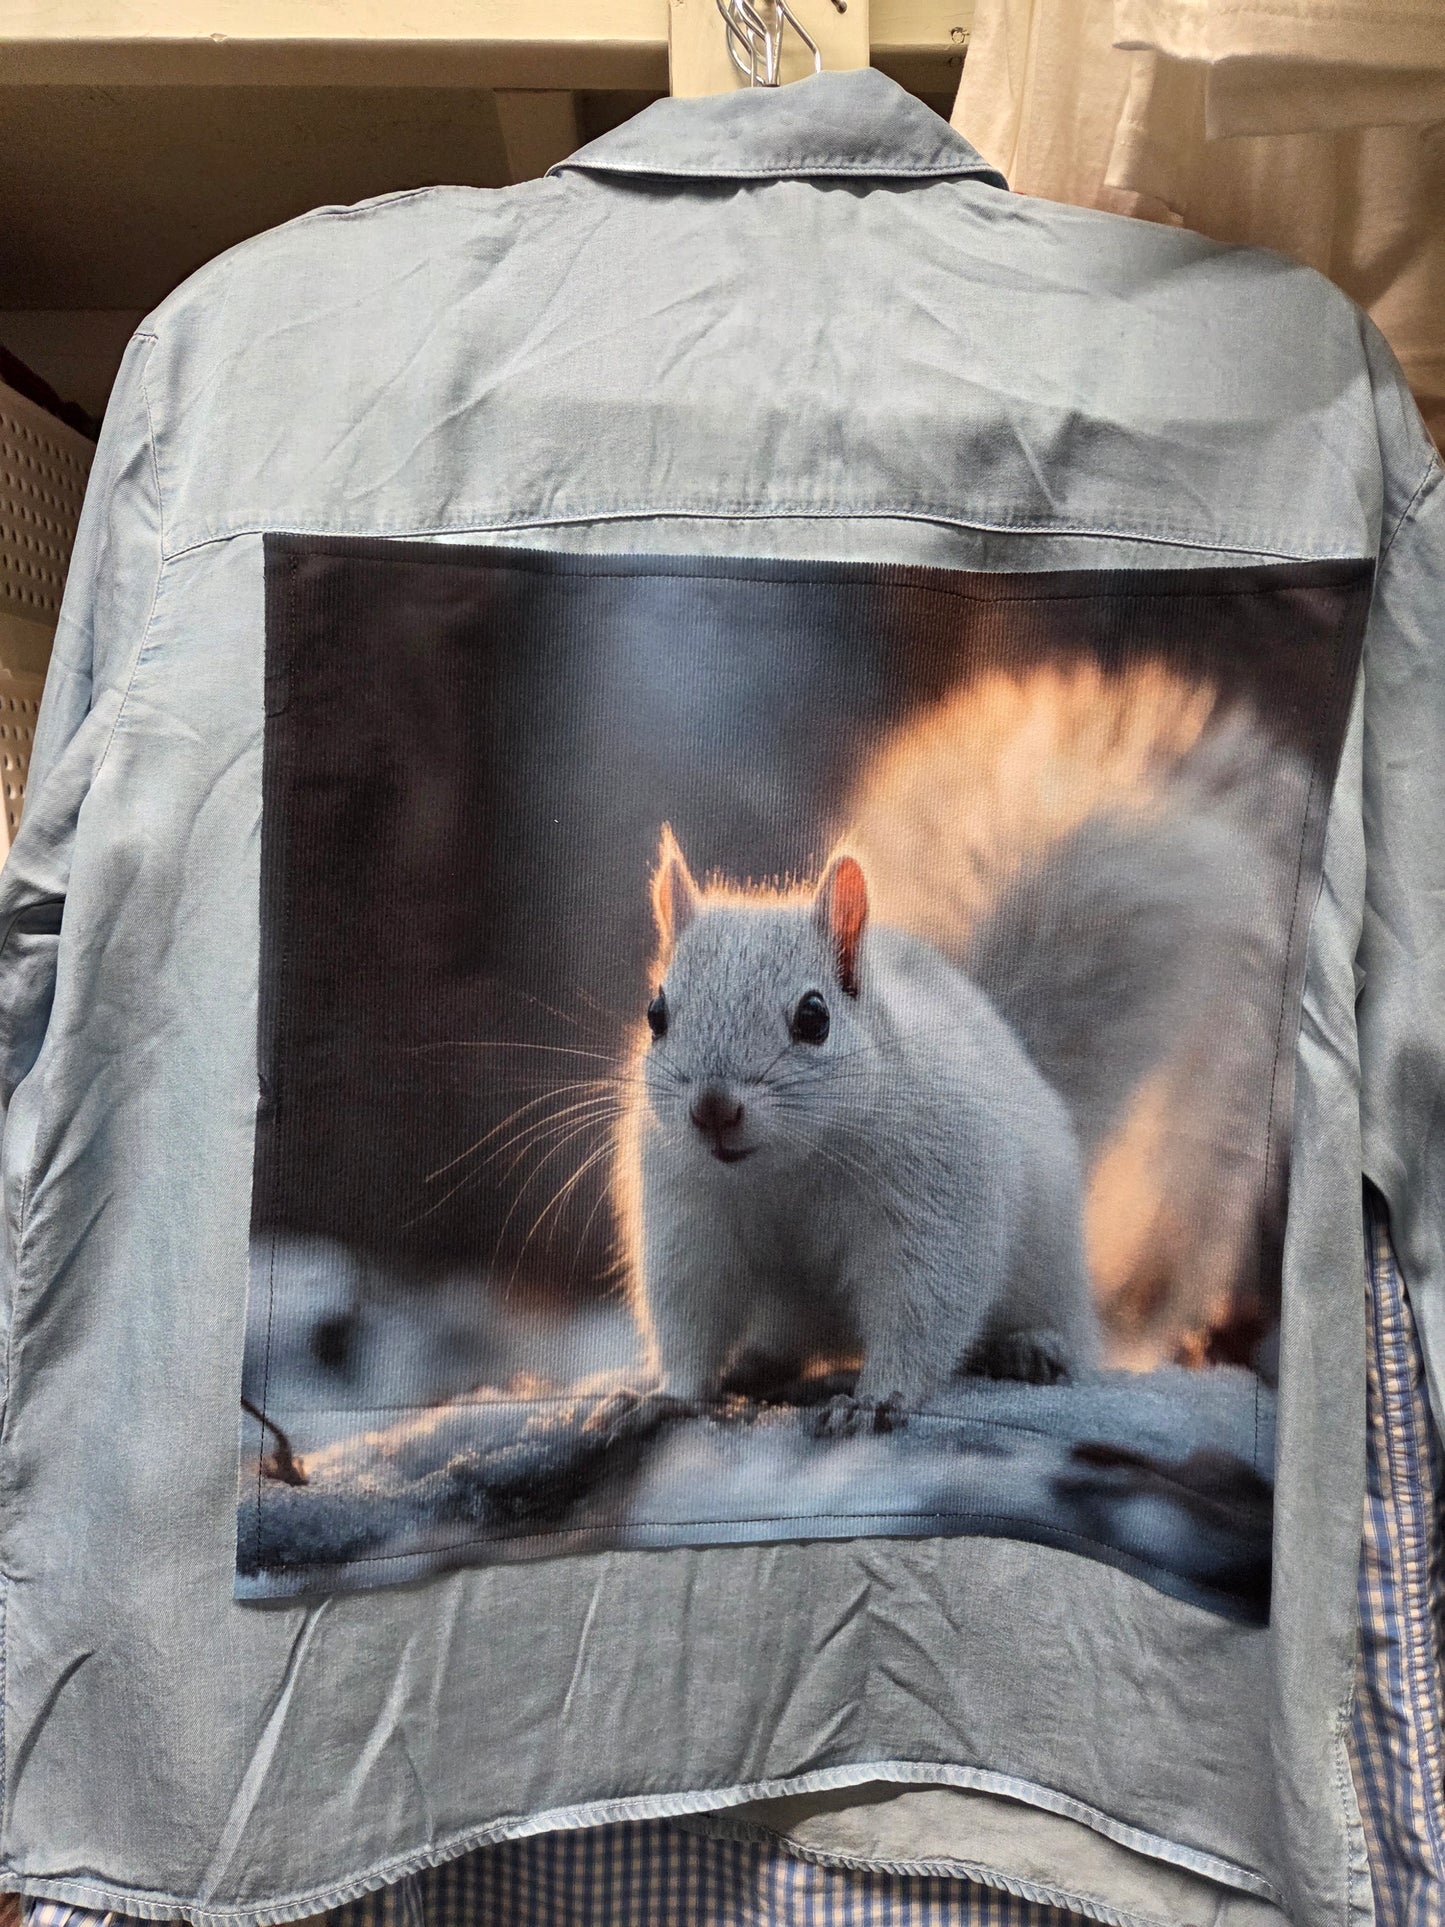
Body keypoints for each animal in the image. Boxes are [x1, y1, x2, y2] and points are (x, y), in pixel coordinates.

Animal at [613, 658, 1305, 1413]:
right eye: (656, 1014)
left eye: (814, 1017)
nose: (713, 1108)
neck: (787, 1165)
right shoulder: (685, 1211)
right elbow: (689, 1312)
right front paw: (668, 1395)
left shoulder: (938, 1200)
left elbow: (924, 1305)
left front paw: (876, 1400)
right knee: (791, 1341)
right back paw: (757, 1365)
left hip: (1048, 1265)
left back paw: (1031, 1347)